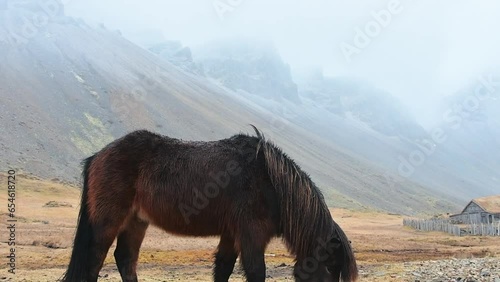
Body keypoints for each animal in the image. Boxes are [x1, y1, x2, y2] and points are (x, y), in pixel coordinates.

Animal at [62, 126, 358, 282]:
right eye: (329, 267)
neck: (271, 183)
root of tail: (98, 155)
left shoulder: (231, 235)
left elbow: (223, 269)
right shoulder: (251, 236)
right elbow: (256, 272)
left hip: (136, 221)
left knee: (125, 258)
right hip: (108, 221)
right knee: (94, 261)